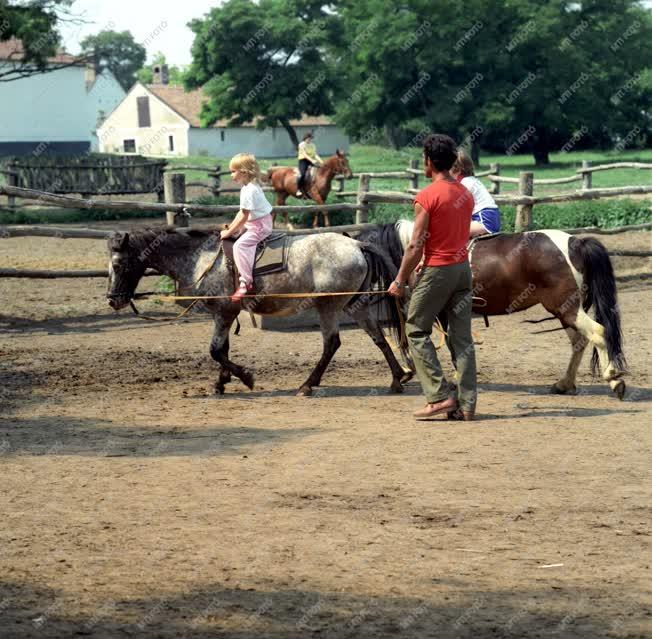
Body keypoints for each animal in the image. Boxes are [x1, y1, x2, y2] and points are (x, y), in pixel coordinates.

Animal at [109, 228, 410, 398]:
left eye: (119, 265)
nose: (113, 300)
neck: (201, 258)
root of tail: (357, 245)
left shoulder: (224, 311)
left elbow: (216, 351)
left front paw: (245, 377)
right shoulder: (226, 313)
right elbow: (223, 349)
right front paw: (221, 382)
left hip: (328, 306)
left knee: (331, 343)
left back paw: (307, 385)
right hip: (353, 305)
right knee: (378, 337)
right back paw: (398, 378)